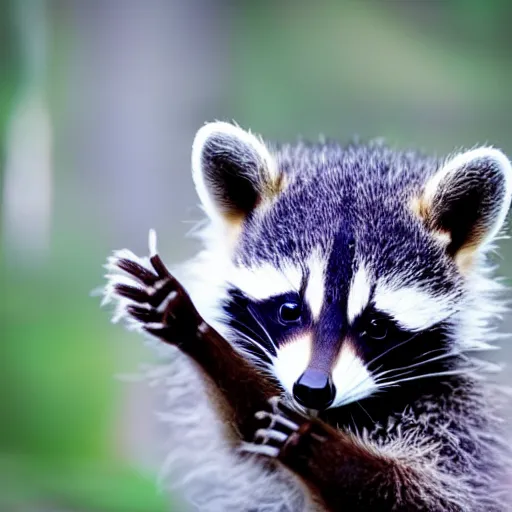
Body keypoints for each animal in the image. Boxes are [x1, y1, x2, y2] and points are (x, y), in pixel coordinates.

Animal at [102, 122, 512, 510]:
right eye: (290, 310)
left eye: (376, 326)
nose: (312, 389)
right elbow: (244, 438)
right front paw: (197, 333)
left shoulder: (458, 426)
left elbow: (420, 496)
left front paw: (313, 442)